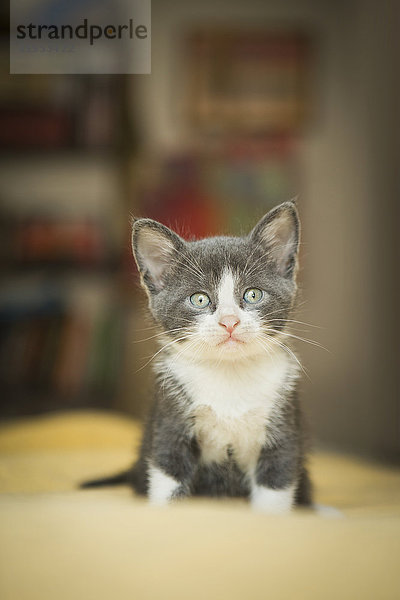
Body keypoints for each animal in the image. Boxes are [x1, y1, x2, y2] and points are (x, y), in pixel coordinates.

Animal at [81, 204, 312, 512]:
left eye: (253, 295)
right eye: (199, 299)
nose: (229, 322)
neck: (229, 375)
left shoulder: (284, 428)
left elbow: (275, 486)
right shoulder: (170, 423)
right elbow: (169, 477)